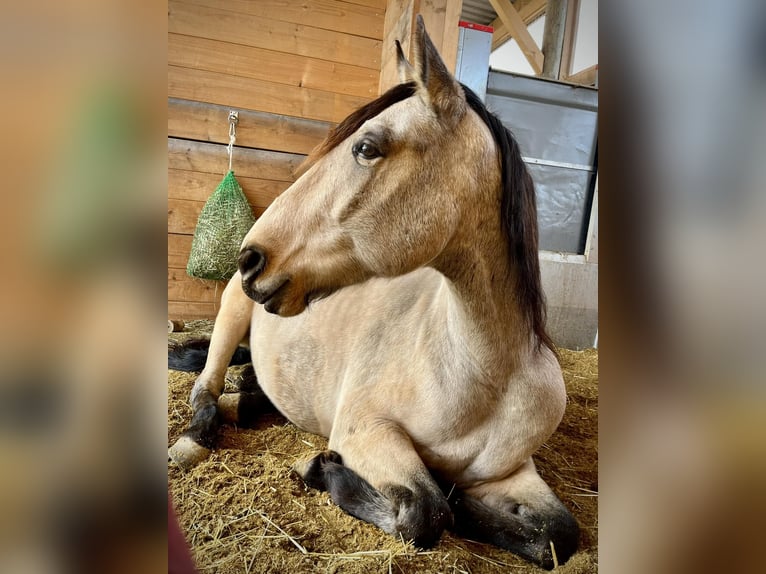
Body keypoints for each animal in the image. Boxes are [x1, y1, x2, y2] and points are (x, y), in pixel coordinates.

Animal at [169, 17, 579, 569]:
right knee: (206, 389)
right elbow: (428, 511)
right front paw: (323, 470)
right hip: (232, 315)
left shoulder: (514, 471)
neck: (483, 374)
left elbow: (557, 535)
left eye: (366, 148)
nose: (250, 258)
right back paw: (196, 436)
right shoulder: (369, 433)